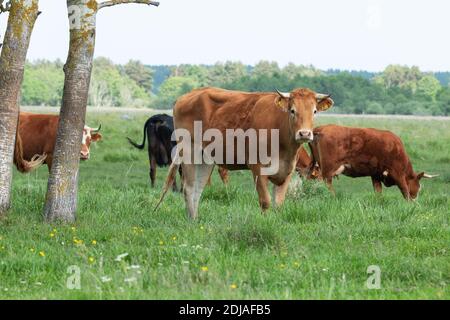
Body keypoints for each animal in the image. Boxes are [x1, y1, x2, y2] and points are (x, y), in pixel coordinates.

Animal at [156, 86, 332, 219]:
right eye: (292, 110)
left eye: (314, 111)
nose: (304, 134)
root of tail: (187, 96)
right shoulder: (258, 169)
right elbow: (265, 201)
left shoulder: (286, 172)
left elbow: (278, 204)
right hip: (189, 152)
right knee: (189, 188)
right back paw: (192, 221)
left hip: (205, 159)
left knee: (198, 190)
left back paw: (195, 220)